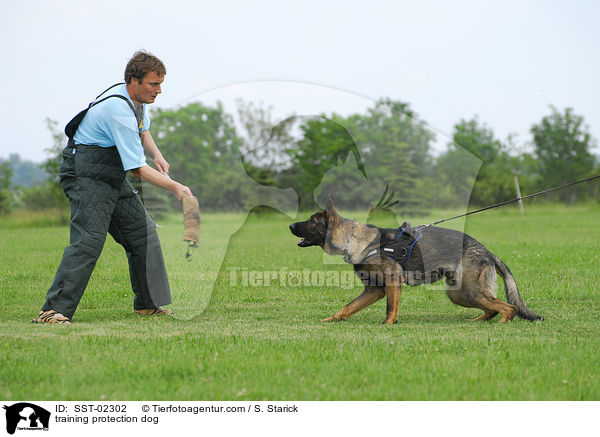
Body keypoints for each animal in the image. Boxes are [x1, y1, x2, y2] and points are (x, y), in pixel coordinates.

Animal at [288, 197, 540, 324]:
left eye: (311, 221)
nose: (290, 225)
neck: (355, 240)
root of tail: (487, 251)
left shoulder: (392, 284)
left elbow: (391, 308)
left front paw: (389, 325)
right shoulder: (374, 290)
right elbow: (348, 307)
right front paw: (332, 319)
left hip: (469, 290)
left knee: (508, 307)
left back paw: (501, 324)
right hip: (459, 294)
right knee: (493, 307)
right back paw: (478, 320)